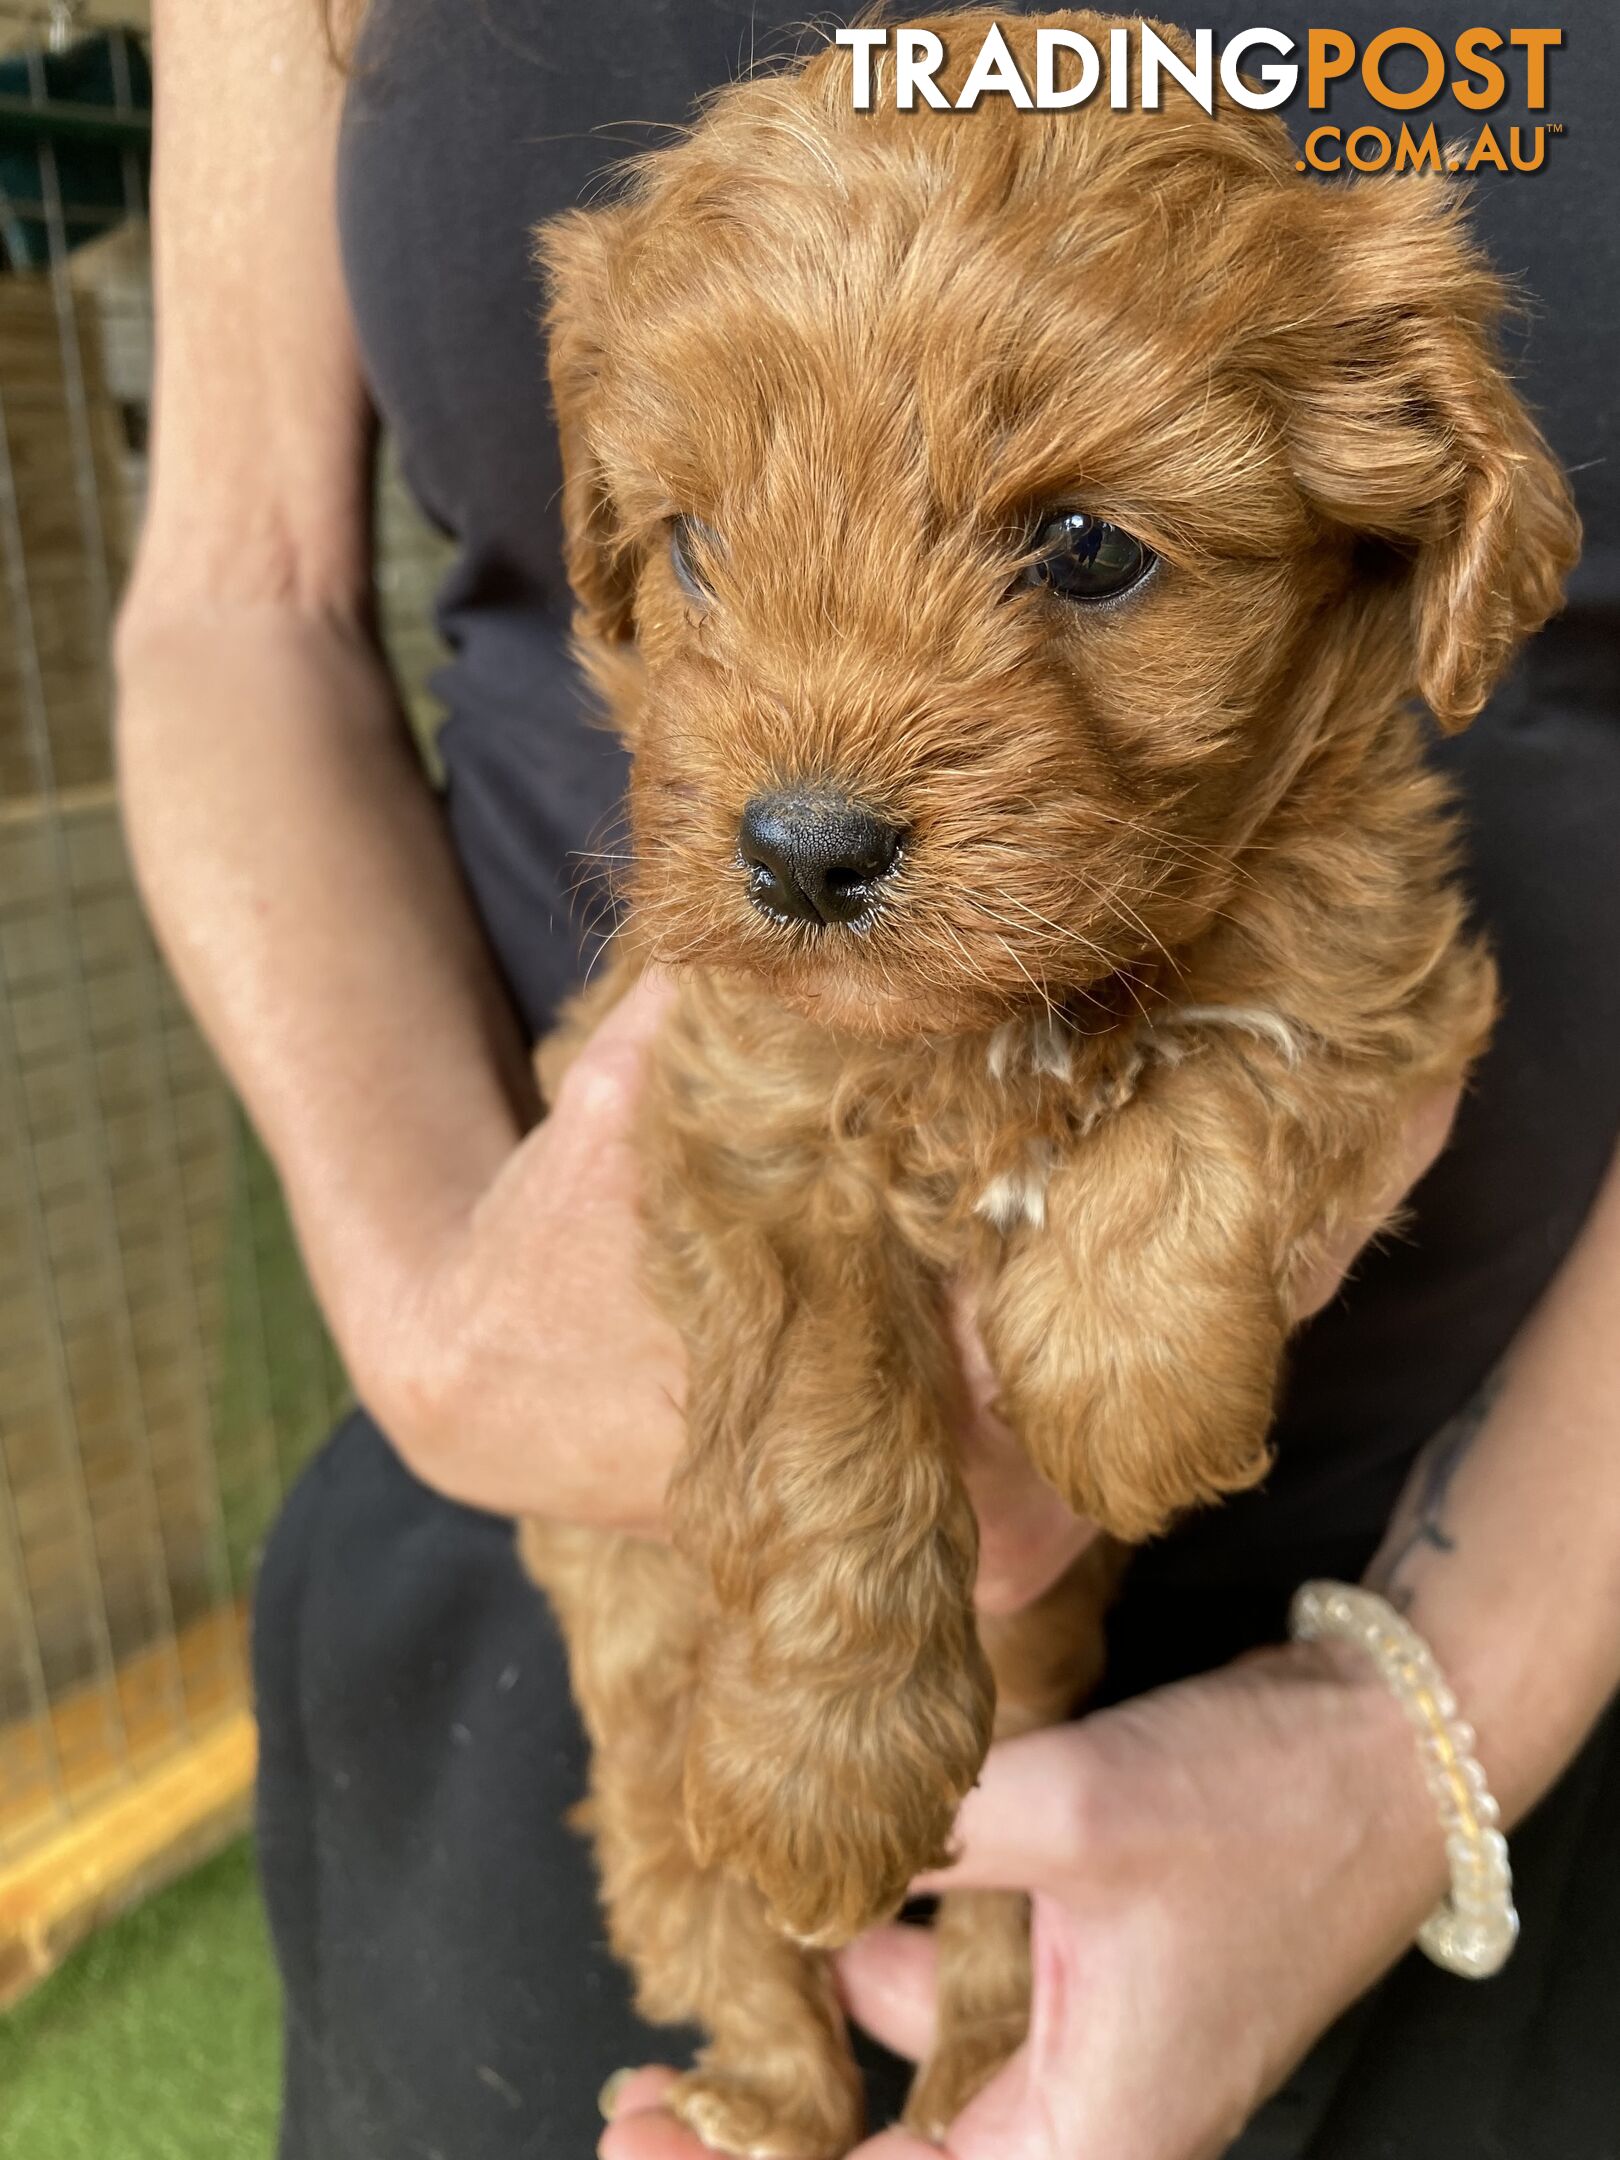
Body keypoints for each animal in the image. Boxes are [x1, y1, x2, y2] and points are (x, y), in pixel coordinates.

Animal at [516, 12, 1572, 2142]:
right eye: (694, 547)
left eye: (1088, 549)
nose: (802, 855)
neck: (987, 1026)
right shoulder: (733, 1106)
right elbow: (827, 1412)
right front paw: (828, 1768)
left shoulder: (1380, 949)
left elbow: (1249, 1053)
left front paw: (1135, 1383)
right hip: (645, 1770)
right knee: (707, 1916)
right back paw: (768, 2092)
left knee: (998, 1931)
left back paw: (970, 2067)